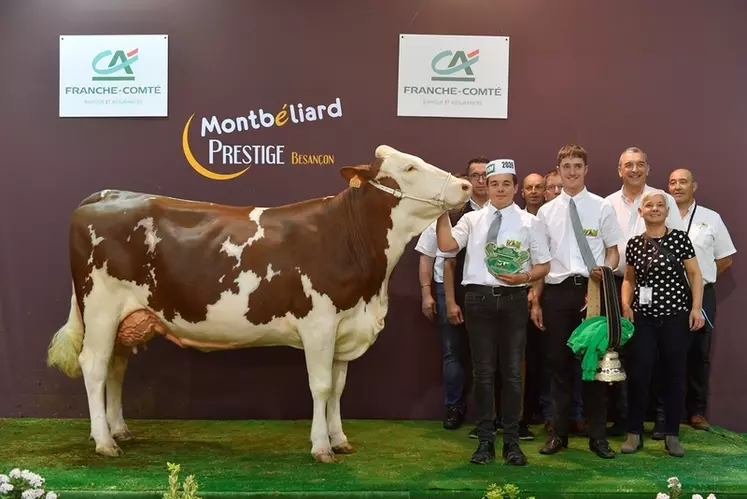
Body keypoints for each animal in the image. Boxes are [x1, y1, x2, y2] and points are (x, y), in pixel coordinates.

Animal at [45, 145, 474, 464]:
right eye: (410, 167)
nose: (467, 184)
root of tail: (106, 195)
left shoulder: (345, 326)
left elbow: (338, 388)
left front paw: (340, 439)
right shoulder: (319, 323)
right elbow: (320, 386)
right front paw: (321, 447)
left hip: (127, 318)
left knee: (115, 368)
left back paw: (119, 430)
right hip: (100, 307)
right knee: (94, 366)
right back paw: (104, 442)